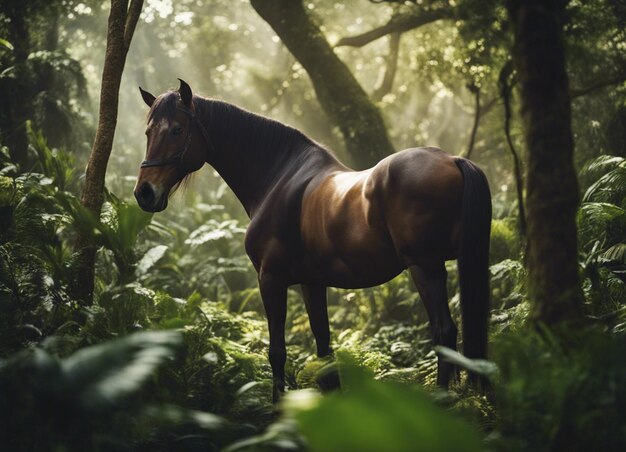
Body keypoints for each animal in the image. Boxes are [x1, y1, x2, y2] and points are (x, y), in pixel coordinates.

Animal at [134, 79, 490, 400]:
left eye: (177, 130)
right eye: (149, 133)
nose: (144, 193)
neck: (277, 178)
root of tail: (453, 160)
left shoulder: (271, 279)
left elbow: (277, 353)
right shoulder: (312, 282)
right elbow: (324, 350)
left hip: (424, 267)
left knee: (443, 331)